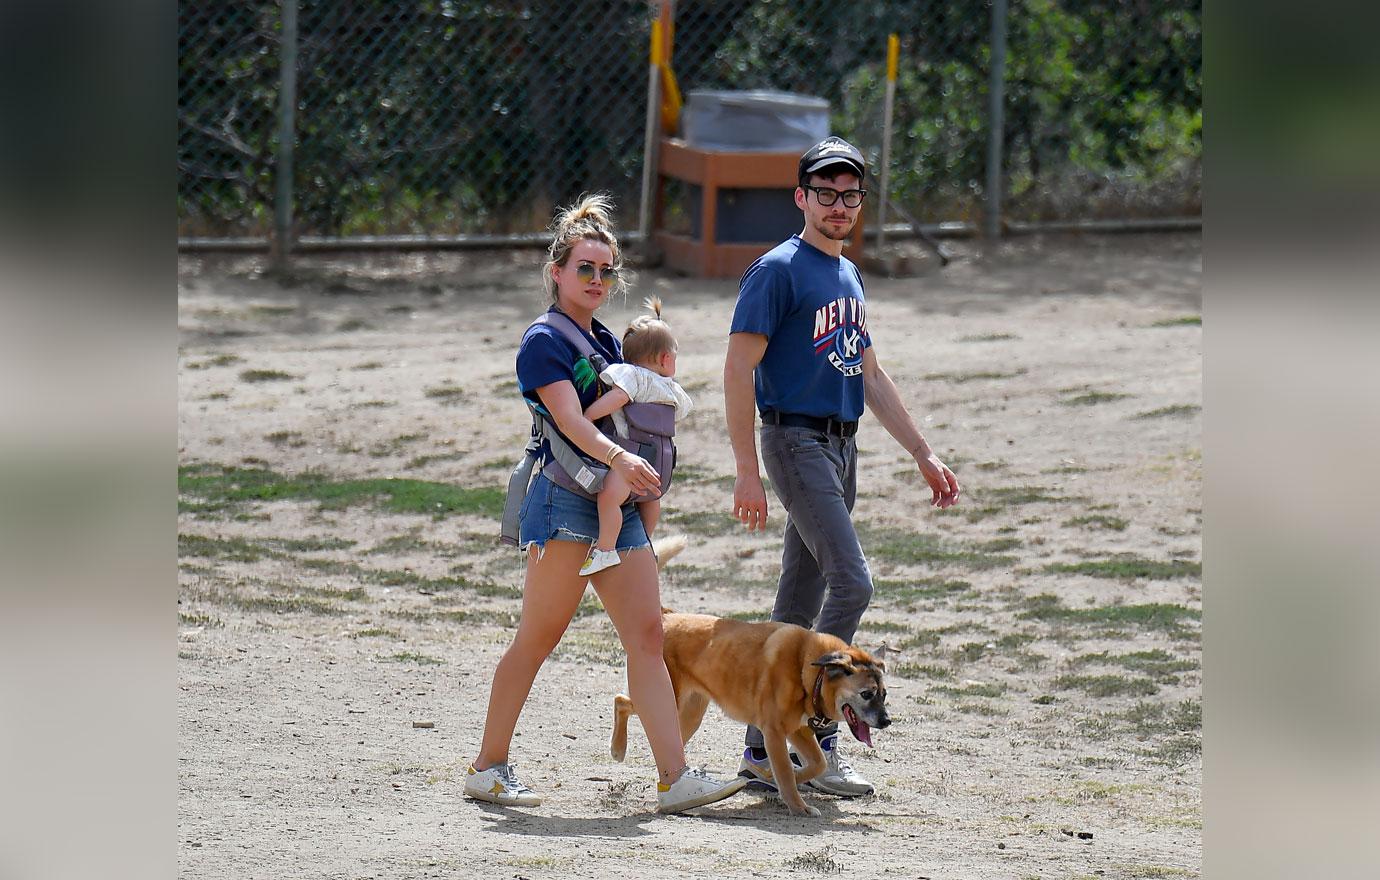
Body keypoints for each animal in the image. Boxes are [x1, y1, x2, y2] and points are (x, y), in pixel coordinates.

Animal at [609, 609, 888, 816]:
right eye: (867, 694)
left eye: (884, 694)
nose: (887, 721)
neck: (807, 669)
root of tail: (667, 617)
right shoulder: (774, 732)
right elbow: (786, 774)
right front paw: (799, 806)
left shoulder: (797, 729)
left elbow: (817, 763)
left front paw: (779, 775)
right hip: (667, 698)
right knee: (620, 700)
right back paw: (618, 749)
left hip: (687, 715)